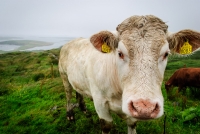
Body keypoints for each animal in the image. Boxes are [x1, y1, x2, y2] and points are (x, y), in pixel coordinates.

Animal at [57, 14, 200, 134]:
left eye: (166, 54)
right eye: (120, 53)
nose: (145, 107)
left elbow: (132, 124)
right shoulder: (100, 102)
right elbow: (106, 125)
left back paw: (84, 109)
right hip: (63, 75)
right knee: (68, 94)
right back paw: (70, 114)